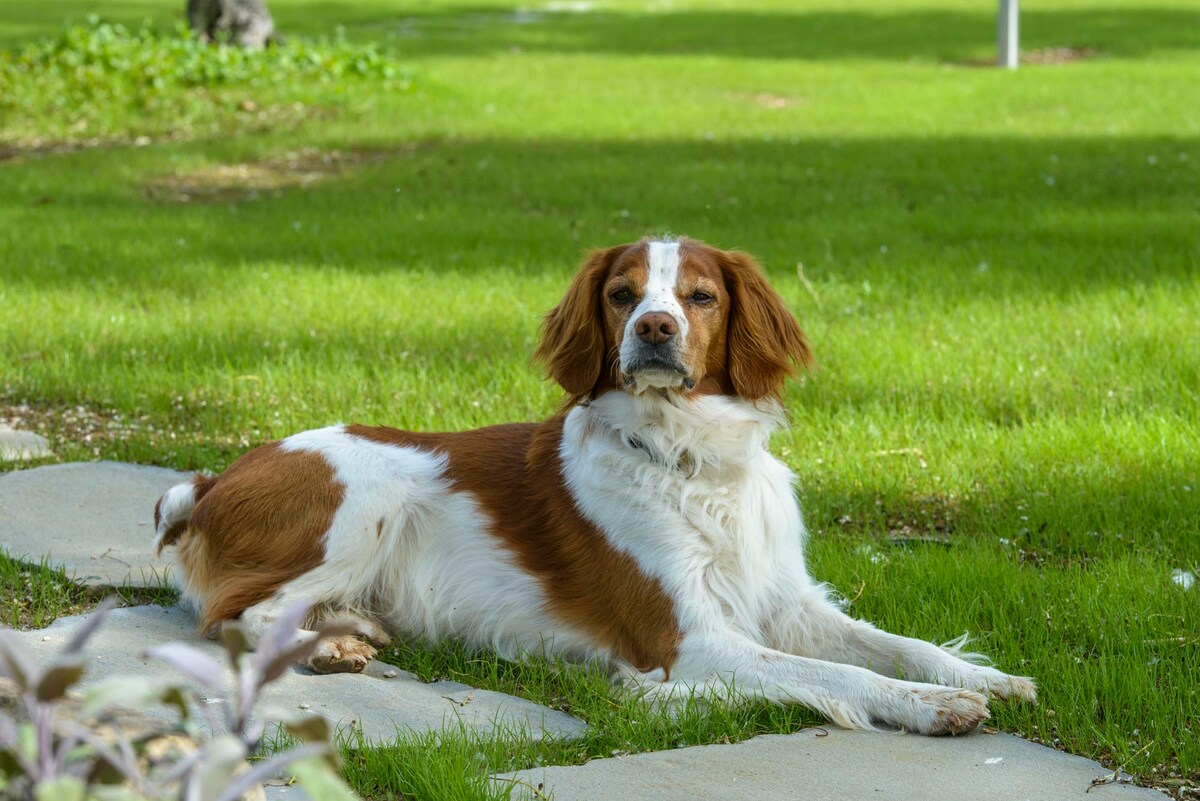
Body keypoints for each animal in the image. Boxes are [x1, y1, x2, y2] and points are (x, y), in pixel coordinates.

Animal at [152, 236, 1032, 733]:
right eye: (622, 293)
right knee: (235, 614)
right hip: (371, 493)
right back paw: (326, 641)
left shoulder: (787, 600)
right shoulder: (687, 638)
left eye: (700, 295)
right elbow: (837, 674)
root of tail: (211, 478)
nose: (655, 327)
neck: (691, 459)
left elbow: (896, 643)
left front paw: (984, 677)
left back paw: (347, 628)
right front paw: (928, 705)